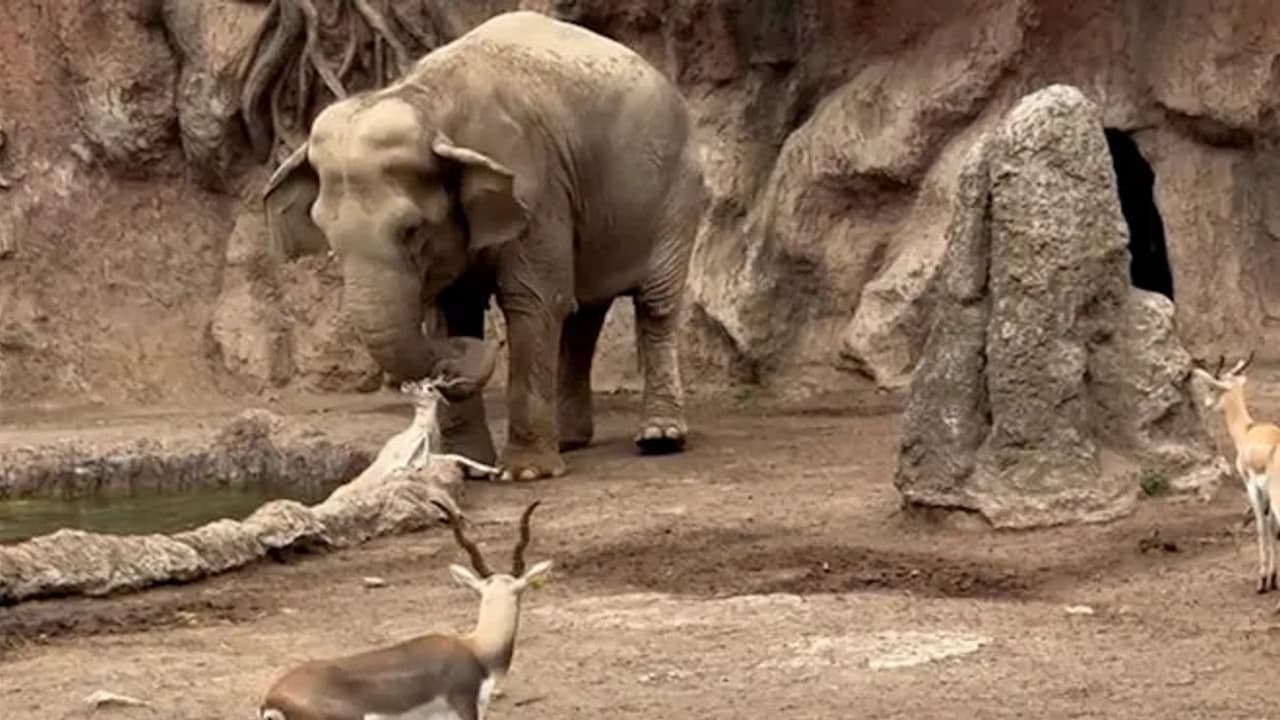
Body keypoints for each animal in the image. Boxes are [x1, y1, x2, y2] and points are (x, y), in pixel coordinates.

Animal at [262, 10, 707, 481]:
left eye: (412, 230)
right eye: (327, 235)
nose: (458, 364)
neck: (427, 101)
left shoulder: (535, 184)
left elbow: (533, 300)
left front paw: (526, 474)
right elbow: (454, 309)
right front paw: (469, 467)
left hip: (677, 190)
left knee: (654, 303)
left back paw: (659, 437)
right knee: (583, 313)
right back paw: (570, 441)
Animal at [1191, 351, 1280, 598]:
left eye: (1213, 387)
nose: (1206, 403)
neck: (1248, 432)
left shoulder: (1252, 486)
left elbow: (1261, 527)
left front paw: (1263, 581)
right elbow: (1271, 528)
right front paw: (1273, 578)